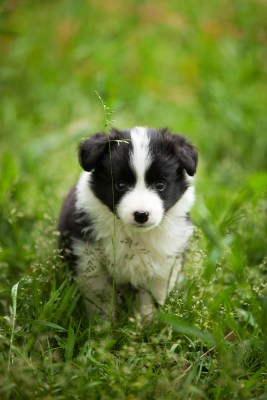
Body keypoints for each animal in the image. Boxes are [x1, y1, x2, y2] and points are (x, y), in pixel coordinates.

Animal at [58, 126, 197, 324]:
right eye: (120, 184)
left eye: (160, 184)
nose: (141, 215)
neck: (133, 234)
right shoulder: (88, 257)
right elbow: (99, 296)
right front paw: (103, 326)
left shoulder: (165, 259)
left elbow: (152, 296)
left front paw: (145, 324)